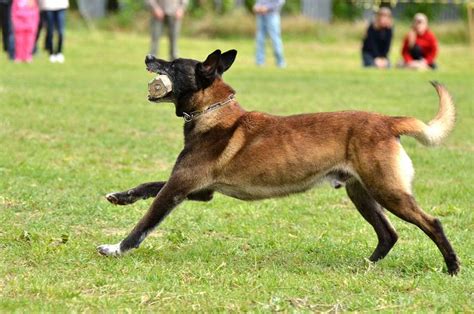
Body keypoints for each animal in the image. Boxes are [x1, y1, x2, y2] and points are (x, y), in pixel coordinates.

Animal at [99, 49, 460, 274]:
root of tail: (386, 121)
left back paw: (453, 267)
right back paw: (367, 266)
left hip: (387, 191)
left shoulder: (179, 188)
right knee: (388, 234)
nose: (148, 56)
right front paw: (121, 196)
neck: (212, 112)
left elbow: (143, 225)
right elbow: (148, 185)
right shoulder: (198, 190)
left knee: (432, 223)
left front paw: (116, 248)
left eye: (173, 65)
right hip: (362, 193)